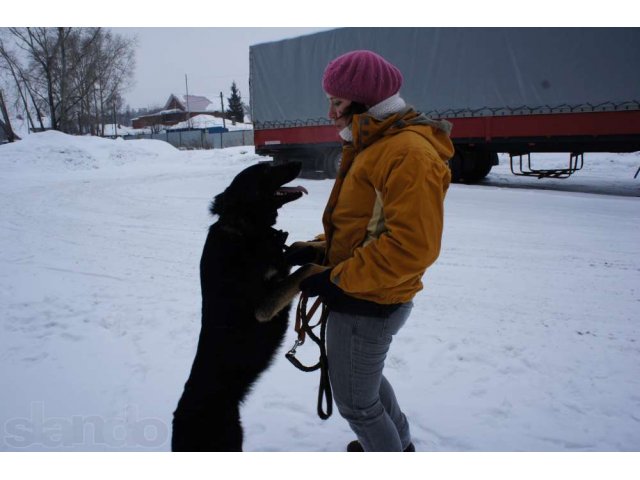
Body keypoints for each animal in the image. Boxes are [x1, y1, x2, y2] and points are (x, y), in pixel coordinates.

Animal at [171, 160, 324, 450]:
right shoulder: (265, 306)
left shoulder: (280, 260)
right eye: (265, 169)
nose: (300, 163)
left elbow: (297, 250)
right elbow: (306, 267)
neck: (247, 227)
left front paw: (320, 245)